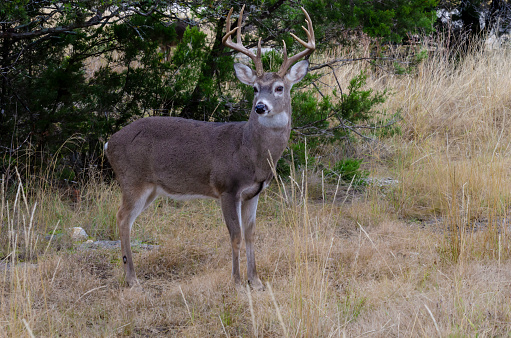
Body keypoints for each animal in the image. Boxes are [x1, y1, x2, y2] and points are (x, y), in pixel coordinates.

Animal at [105, 4, 314, 290]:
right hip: (132, 179)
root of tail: (109, 142)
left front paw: (256, 281)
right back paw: (132, 278)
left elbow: (251, 234)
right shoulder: (227, 187)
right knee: (121, 217)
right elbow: (235, 236)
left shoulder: (254, 192)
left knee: (126, 219)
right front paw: (237, 282)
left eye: (280, 88)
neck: (250, 153)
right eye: (255, 88)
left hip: (150, 189)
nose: (260, 107)